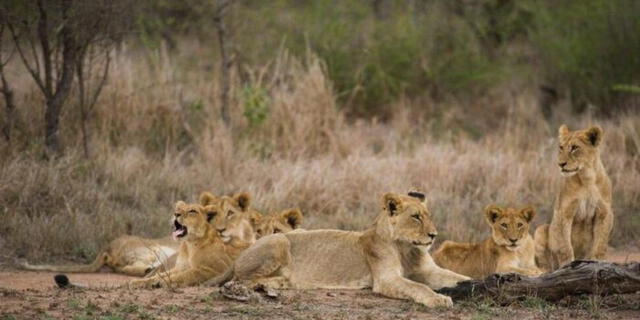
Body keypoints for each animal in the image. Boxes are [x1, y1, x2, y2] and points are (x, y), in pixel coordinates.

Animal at [231, 192, 470, 308]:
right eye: (416, 217)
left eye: (428, 215)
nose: (434, 235)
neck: (407, 248)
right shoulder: (386, 279)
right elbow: (418, 287)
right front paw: (439, 299)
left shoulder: (429, 271)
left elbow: (458, 277)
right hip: (280, 239)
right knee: (240, 280)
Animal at [532, 124, 612, 270]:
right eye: (561, 147)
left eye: (574, 147)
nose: (560, 164)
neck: (586, 178)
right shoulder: (564, 212)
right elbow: (565, 246)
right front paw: (568, 266)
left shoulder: (604, 213)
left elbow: (600, 245)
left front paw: (597, 262)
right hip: (540, 230)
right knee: (545, 265)